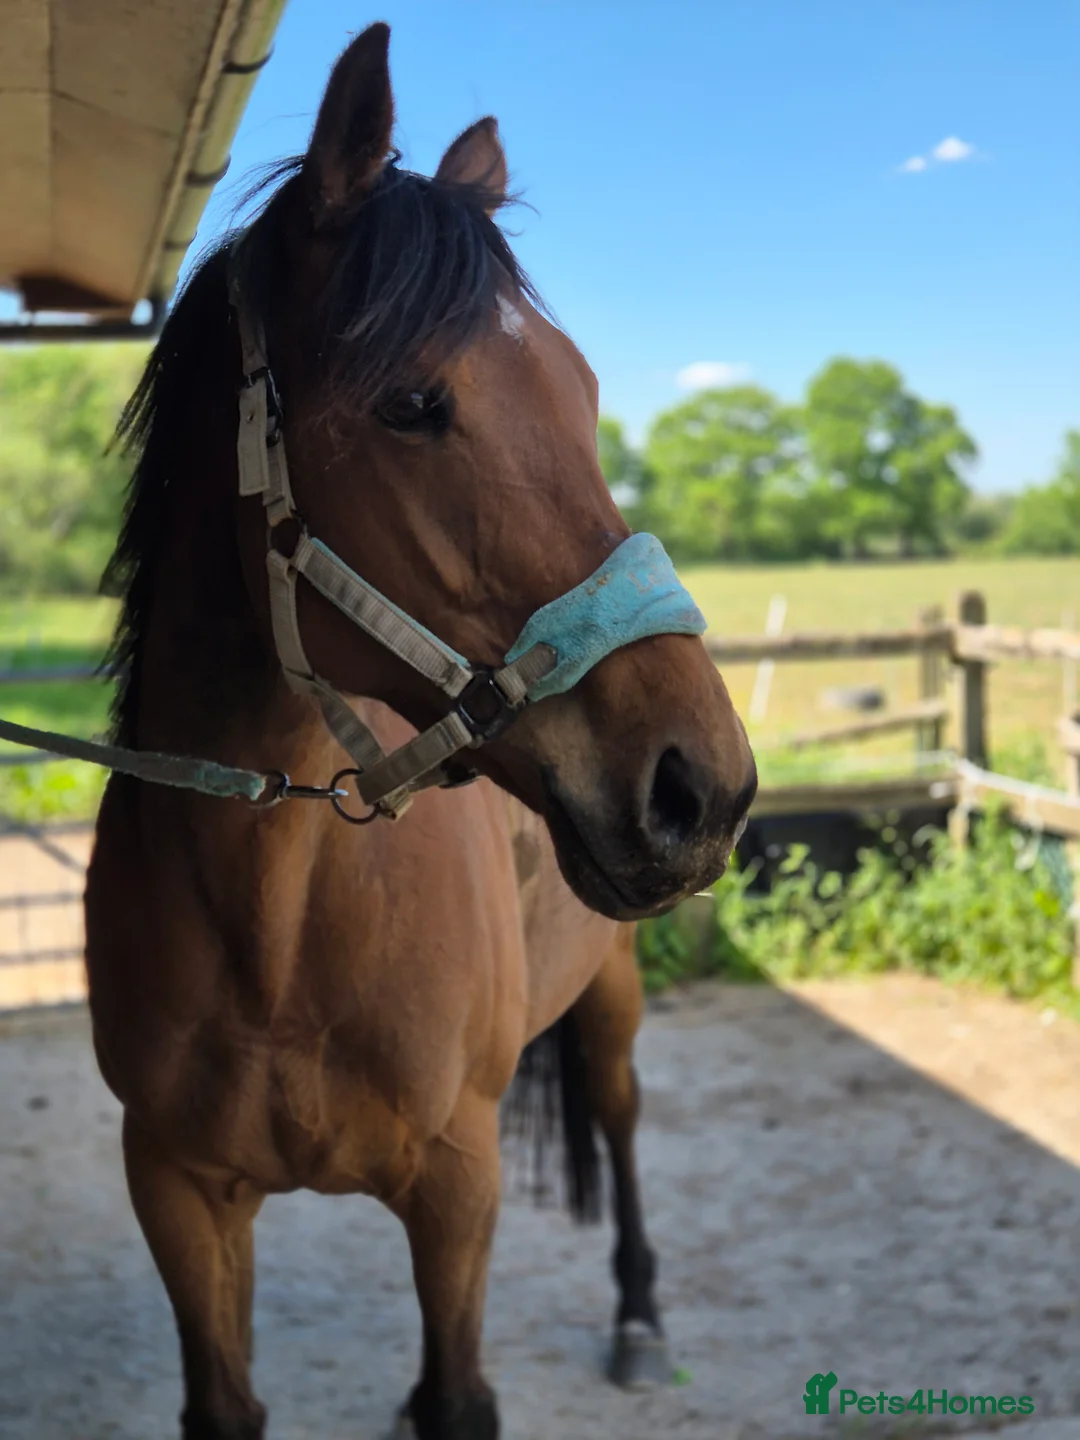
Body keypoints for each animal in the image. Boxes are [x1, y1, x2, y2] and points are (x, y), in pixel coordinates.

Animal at [84, 24, 757, 1440]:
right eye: (410, 403)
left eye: (586, 390)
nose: (705, 786)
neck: (276, 926)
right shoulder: (176, 1193)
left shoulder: (456, 1189)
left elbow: (458, 1394)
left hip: (612, 994)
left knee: (620, 1113)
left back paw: (638, 1314)